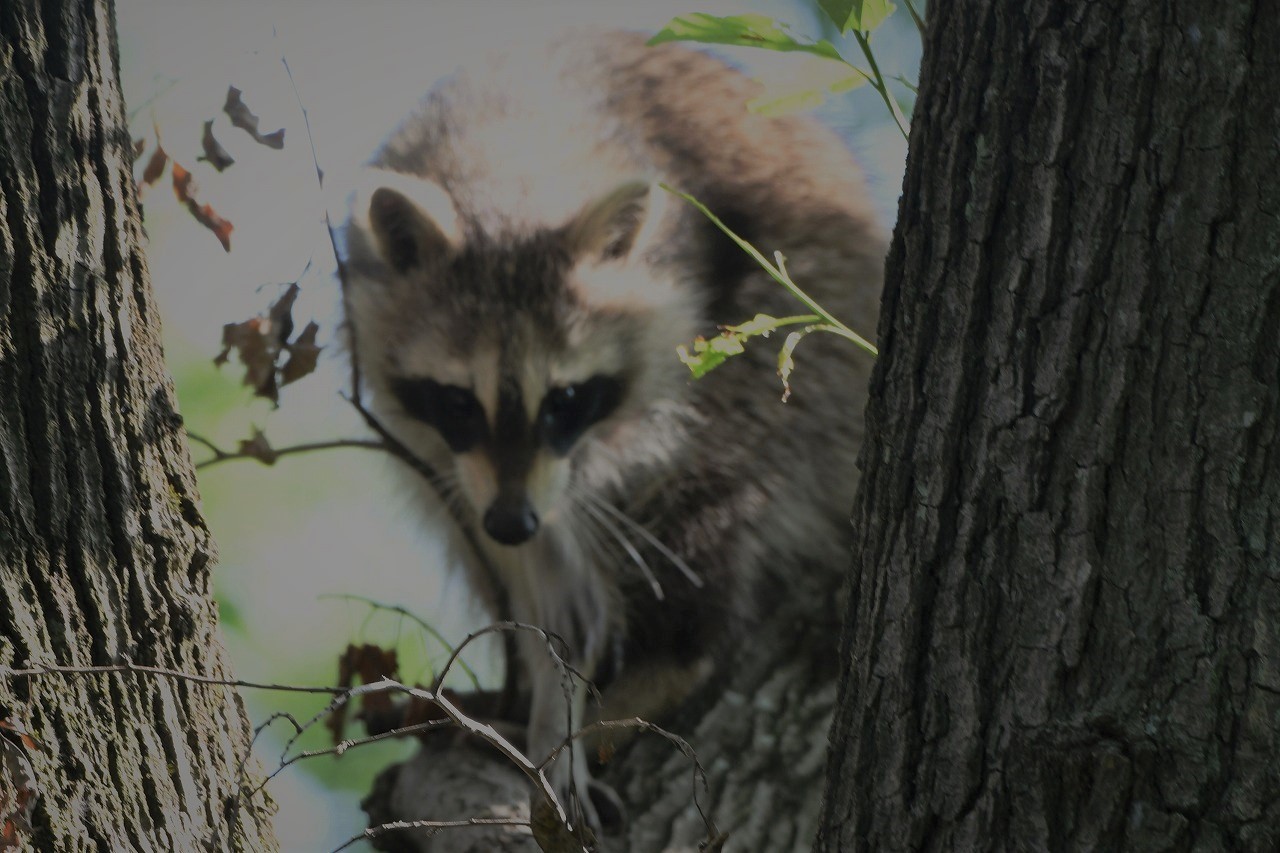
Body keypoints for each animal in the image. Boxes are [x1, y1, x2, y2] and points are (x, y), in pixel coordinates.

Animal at [337, 31, 880, 829]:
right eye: (459, 401)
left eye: (564, 399)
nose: (512, 520)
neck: (510, 174)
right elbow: (529, 577)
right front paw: (544, 680)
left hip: (813, 345)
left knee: (724, 465)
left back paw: (665, 658)